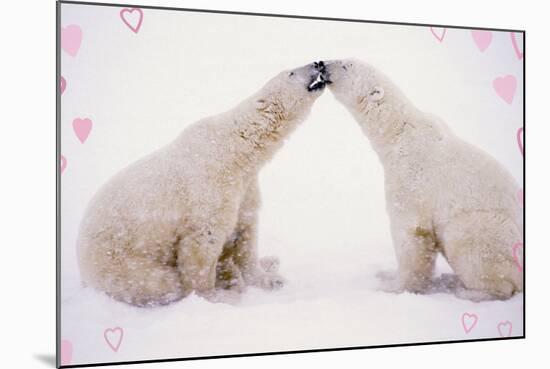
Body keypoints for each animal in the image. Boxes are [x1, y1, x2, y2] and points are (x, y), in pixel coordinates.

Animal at [77, 61, 328, 306]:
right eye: (291, 72)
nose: (318, 63)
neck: (235, 148)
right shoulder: (210, 186)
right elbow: (203, 242)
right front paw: (216, 296)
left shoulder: (245, 187)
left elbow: (245, 230)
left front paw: (269, 279)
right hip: (119, 262)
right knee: (160, 282)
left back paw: (268, 261)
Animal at [328, 57, 528, 300]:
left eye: (345, 65)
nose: (322, 64)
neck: (398, 131)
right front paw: (386, 274)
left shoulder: (411, 176)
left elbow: (410, 233)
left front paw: (393, 287)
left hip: (487, 231)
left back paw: (467, 290)